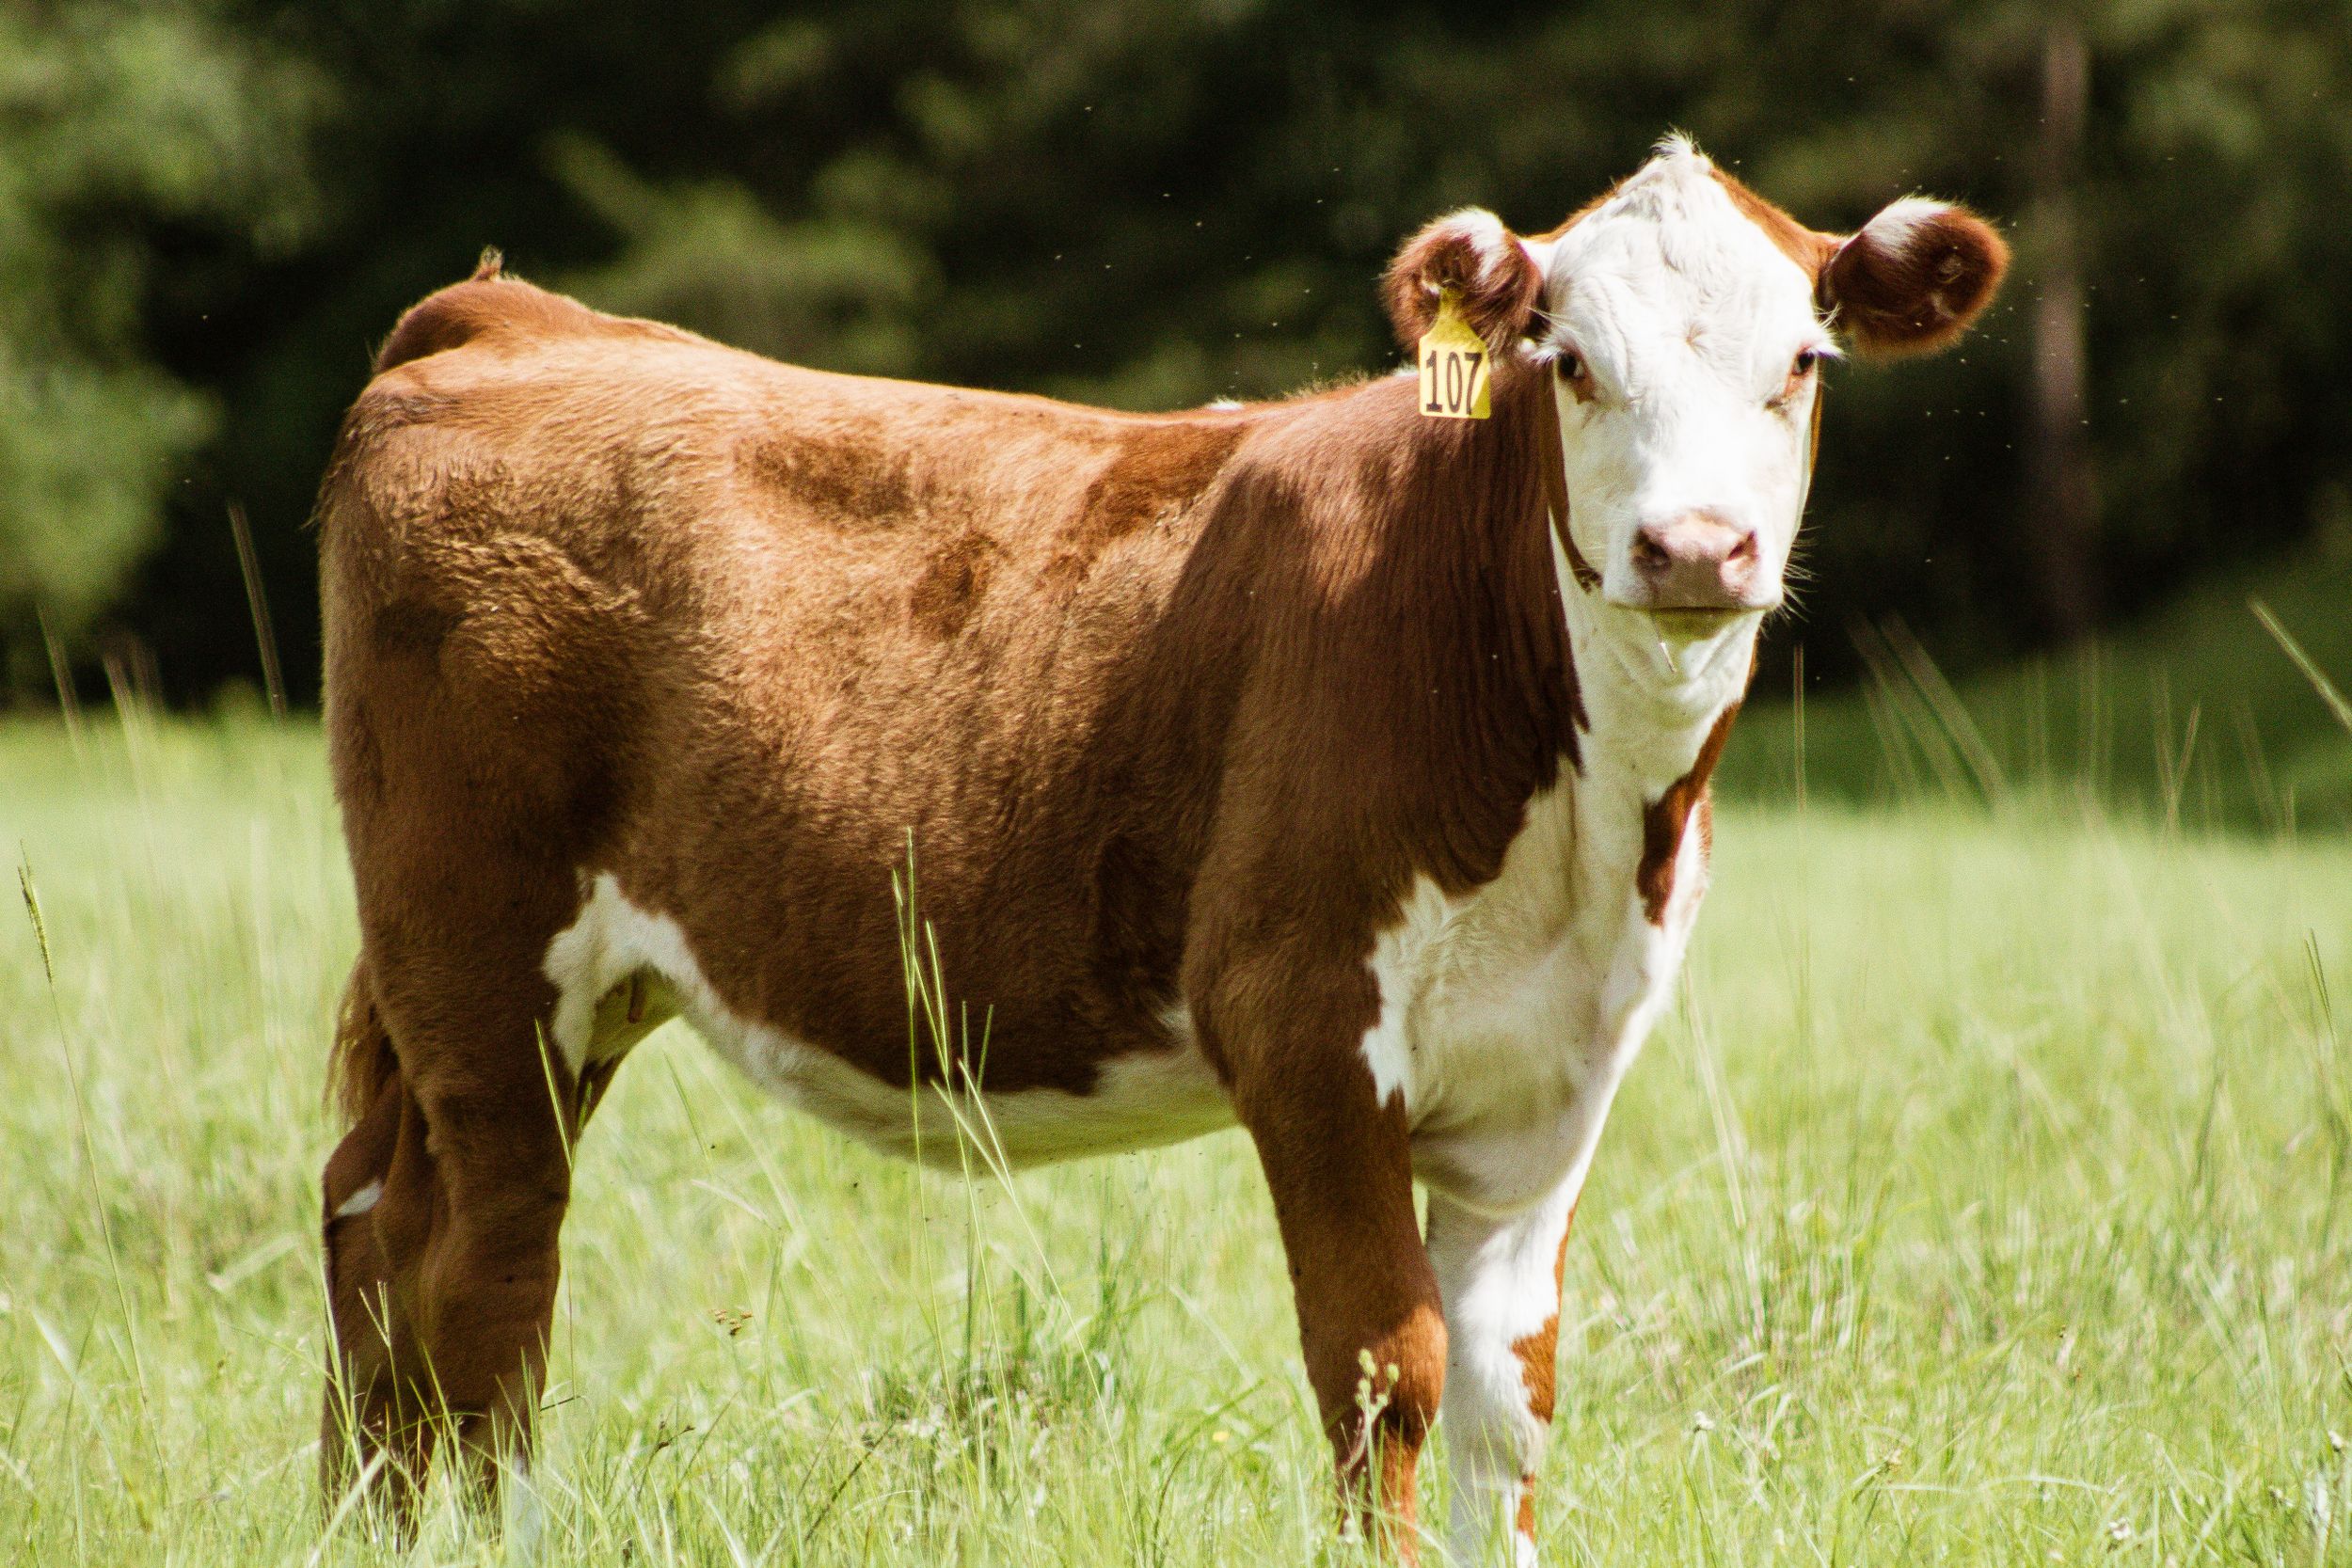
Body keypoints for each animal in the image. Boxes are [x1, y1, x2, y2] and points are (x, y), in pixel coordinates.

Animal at [314, 136, 2003, 1562]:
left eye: (1802, 363)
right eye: (1571, 362)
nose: (1697, 547)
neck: (1588, 826)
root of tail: (517, 316)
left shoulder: (1557, 1072)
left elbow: (1507, 1393)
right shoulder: (1302, 1020)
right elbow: (1386, 1365)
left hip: (554, 994)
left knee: (374, 1227)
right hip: (482, 960)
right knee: (485, 1274)